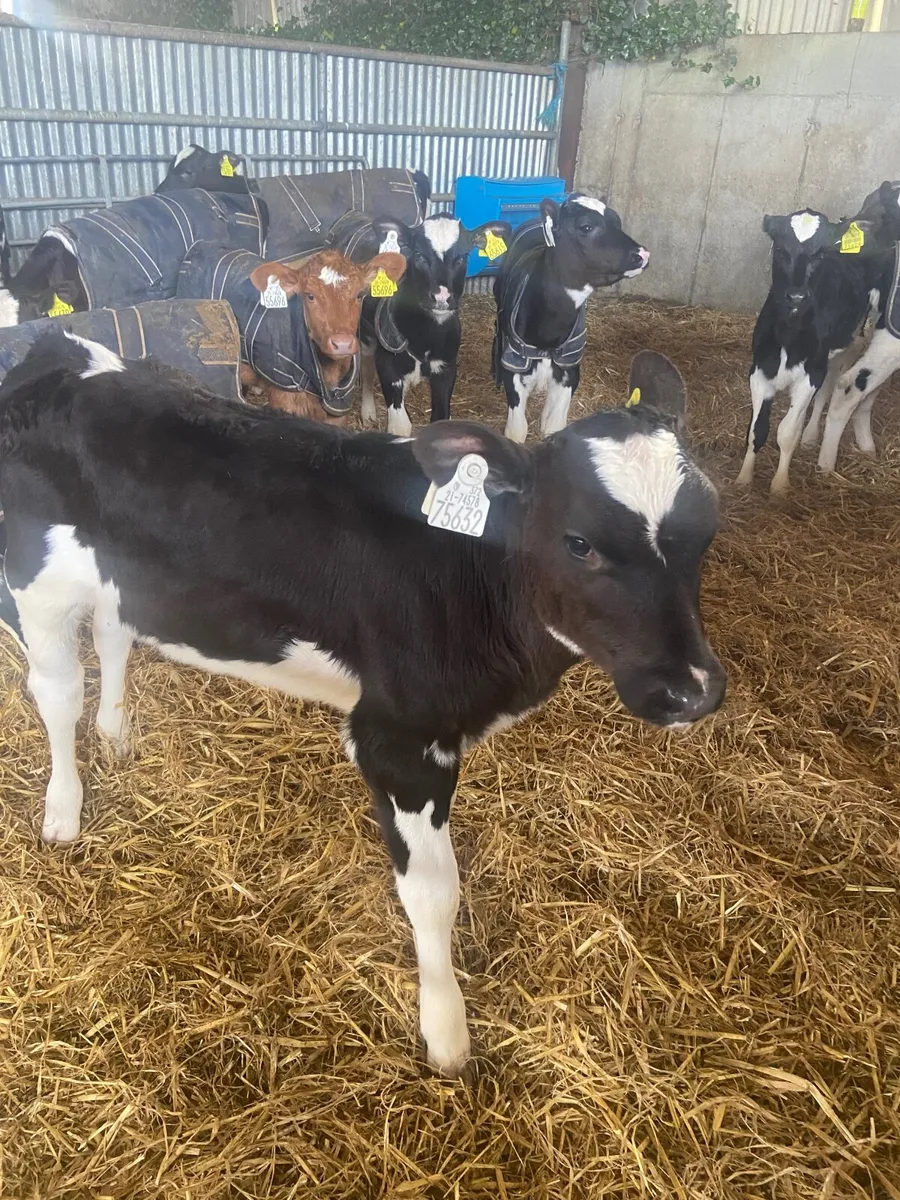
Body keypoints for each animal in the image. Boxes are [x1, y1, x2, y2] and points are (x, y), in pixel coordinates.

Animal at [0, 335, 724, 1076]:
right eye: (579, 543)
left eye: (708, 531)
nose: (694, 691)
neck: (475, 572)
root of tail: (59, 352)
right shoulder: (399, 744)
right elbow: (434, 894)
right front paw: (446, 1032)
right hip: (35, 581)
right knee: (57, 692)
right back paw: (63, 808)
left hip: (123, 581)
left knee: (113, 633)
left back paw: (115, 732)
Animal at [328, 210, 512, 434]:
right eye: (418, 255)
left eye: (463, 257)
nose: (442, 297)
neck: (425, 337)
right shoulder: (387, 363)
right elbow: (400, 425)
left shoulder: (446, 366)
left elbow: (440, 418)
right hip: (364, 333)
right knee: (367, 368)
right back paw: (369, 413)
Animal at [493, 194, 649, 443]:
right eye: (585, 227)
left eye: (617, 221)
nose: (642, 254)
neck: (548, 335)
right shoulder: (515, 364)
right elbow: (516, 431)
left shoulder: (571, 366)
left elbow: (554, 426)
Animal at [735, 208, 880, 493]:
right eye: (780, 249)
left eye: (819, 254)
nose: (797, 297)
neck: (788, 336)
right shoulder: (759, 369)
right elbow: (756, 430)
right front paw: (744, 479)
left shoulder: (811, 372)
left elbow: (787, 432)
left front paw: (780, 486)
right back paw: (810, 435)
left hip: (850, 339)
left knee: (829, 386)